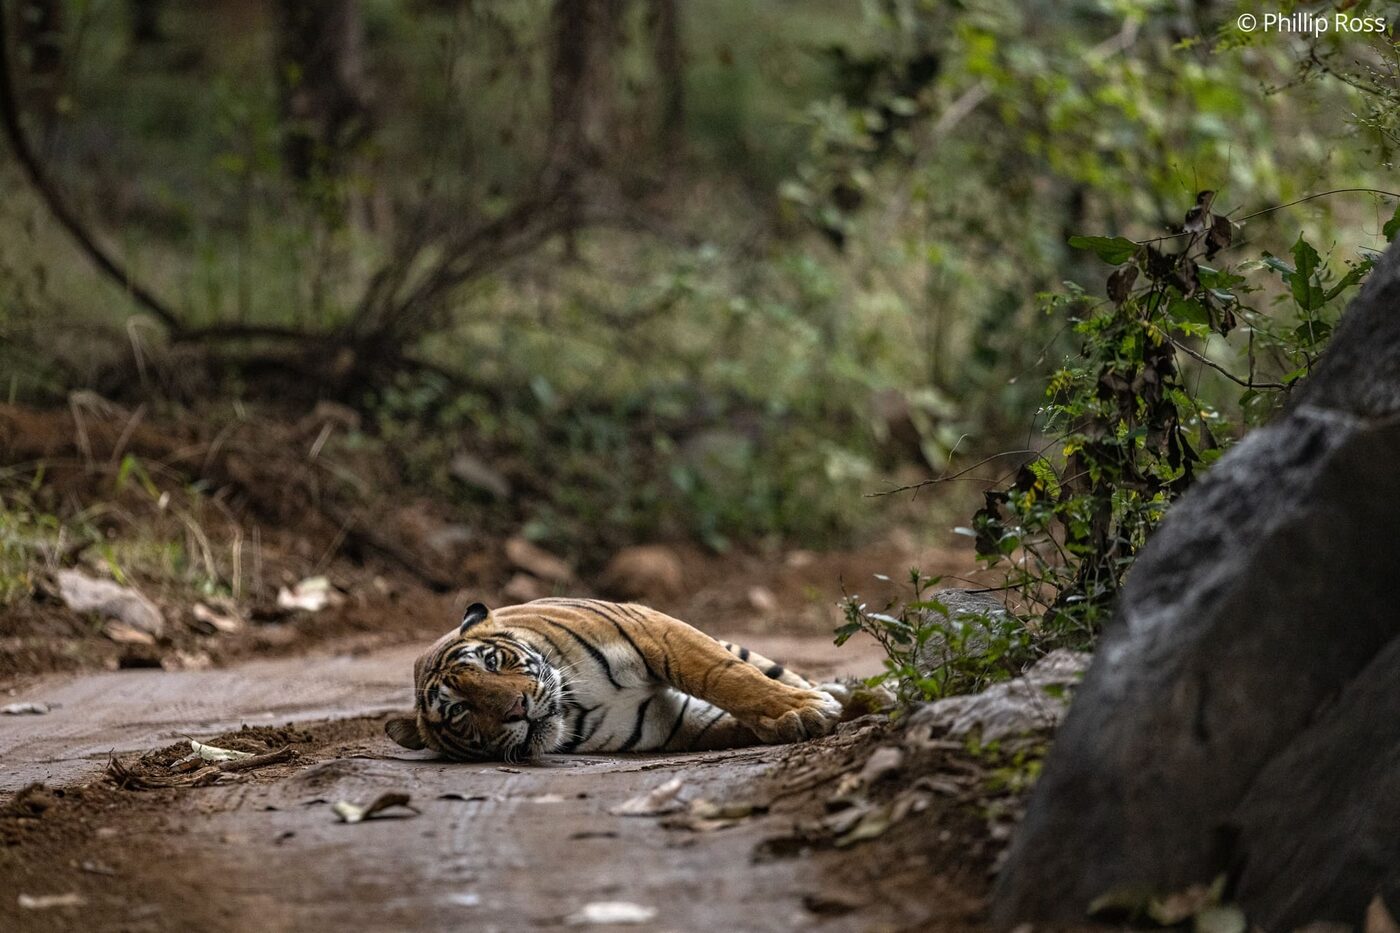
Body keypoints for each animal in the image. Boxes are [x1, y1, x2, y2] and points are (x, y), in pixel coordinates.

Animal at [385, 597, 844, 762]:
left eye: (493, 662)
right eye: (460, 710)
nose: (517, 708)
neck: (576, 703)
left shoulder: (657, 630)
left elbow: (728, 676)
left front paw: (805, 707)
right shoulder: (677, 721)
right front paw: (795, 718)